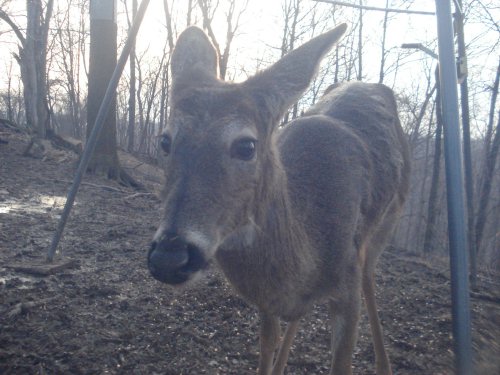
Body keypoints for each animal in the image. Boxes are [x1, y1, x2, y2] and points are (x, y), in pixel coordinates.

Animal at [147, 25, 410, 375]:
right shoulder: (267, 303)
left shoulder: (348, 284)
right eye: (165, 141)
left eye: (246, 145)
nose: (169, 257)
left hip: (390, 217)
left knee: (370, 275)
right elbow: (267, 344)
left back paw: (384, 365)